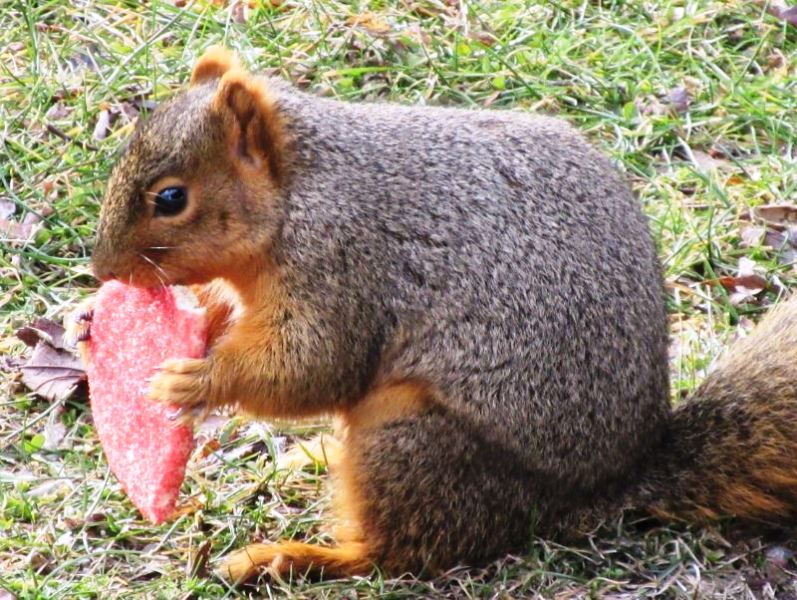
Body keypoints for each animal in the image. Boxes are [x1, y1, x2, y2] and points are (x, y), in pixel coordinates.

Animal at [68, 45, 797, 581]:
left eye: (171, 198)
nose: (103, 271)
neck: (300, 189)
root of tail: (608, 484)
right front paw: (91, 326)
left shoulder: (344, 266)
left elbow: (313, 367)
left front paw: (194, 380)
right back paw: (311, 459)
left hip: (411, 439)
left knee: (398, 554)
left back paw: (292, 556)